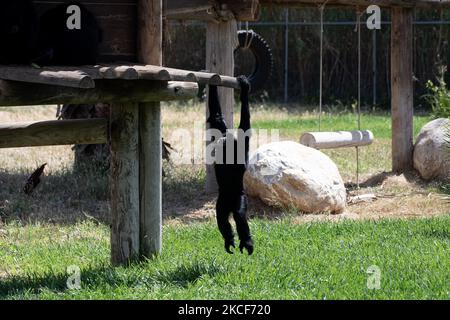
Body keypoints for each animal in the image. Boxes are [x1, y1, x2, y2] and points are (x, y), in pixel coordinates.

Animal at [207, 75, 253, 255]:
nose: (220, 144)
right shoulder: (220, 129)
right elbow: (216, 116)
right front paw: (212, 83)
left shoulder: (243, 145)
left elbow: (245, 126)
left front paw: (245, 89)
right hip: (222, 201)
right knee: (221, 217)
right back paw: (229, 239)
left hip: (240, 197)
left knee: (239, 216)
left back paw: (246, 242)